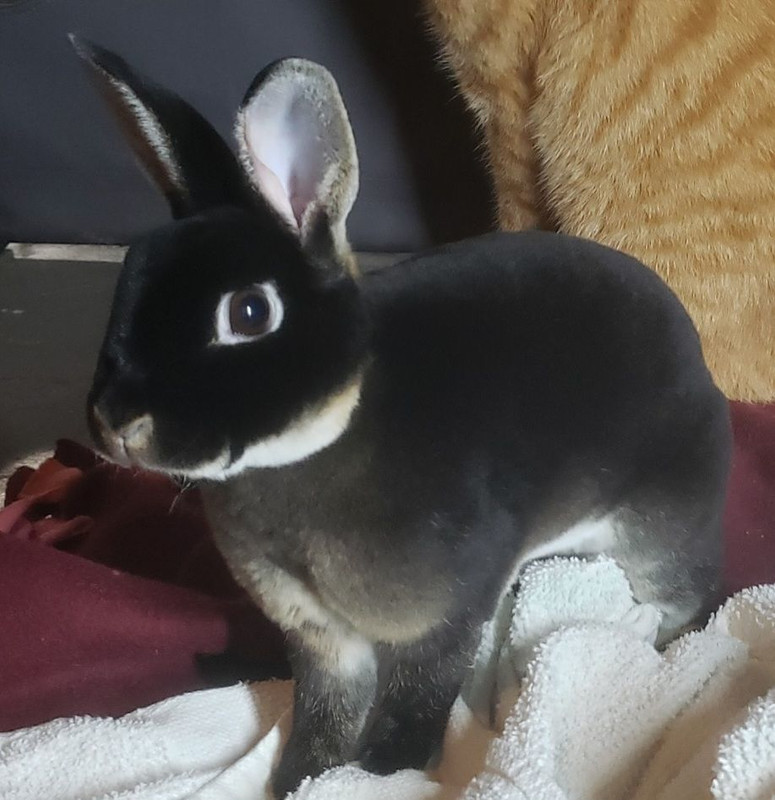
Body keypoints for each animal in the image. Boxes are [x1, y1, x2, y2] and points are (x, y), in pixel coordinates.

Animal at [73, 37, 731, 799]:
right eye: (127, 280)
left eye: (250, 312)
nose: (118, 422)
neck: (325, 433)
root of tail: (698, 362)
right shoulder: (320, 636)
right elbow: (327, 707)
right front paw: (304, 776)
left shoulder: (441, 619)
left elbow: (417, 696)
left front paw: (385, 770)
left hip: (660, 527)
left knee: (685, 596)